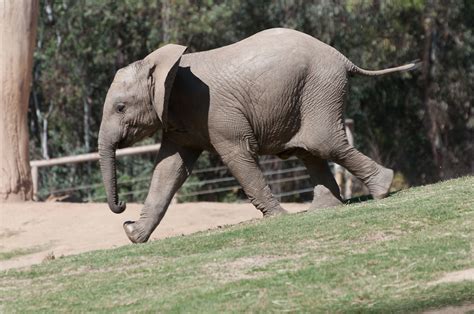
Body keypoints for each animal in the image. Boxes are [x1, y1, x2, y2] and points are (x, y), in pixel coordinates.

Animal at [99, 27, 418, 243]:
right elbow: (169, 169)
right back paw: (323, 210)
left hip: (319, 87)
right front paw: (134, 235)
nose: (123, 210)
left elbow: (238, 156)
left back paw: (382, 189)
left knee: (323, 143)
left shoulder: (214, 110)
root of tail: (343, 58)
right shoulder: (180, 120)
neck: (165, 66)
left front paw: (278, 218)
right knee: (309, 151)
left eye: (120, 107)